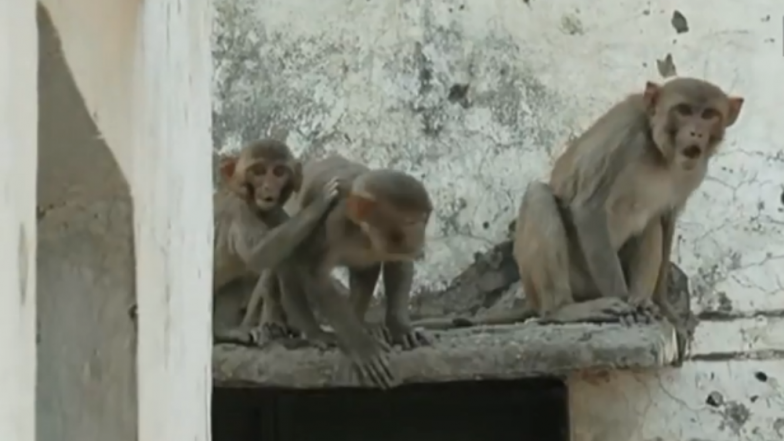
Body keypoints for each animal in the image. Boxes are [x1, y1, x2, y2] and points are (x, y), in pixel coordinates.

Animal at [213, 139, 340, 342]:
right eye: (258, 171)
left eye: (279, 172)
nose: (268, 187)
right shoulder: (240, 211)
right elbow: (258, 254)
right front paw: (320, 203)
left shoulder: (279, 216)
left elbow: (284, 265)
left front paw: (315, 333)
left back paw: (225, 329)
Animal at [274, 154, 432, 389]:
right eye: (410, 222)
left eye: (424, 220)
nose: (420, 241)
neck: (362, 233)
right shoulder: (331, 223)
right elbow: (313, 273)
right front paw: (362, 347)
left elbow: (388, 265)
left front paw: (400, 328)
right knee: (289, 261)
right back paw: (314, 333)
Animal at [413, 77, 743, 335]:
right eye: (684, 110)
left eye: (709, 114)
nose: (696, 132)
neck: (660, 150)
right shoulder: (625, 137)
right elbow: (588, 208)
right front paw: (628, 304)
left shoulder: (694, 171)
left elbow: (666, 219)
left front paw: (665, 308)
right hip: (579, 279)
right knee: (539, 197)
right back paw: (565, 309)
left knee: (649, 226)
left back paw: (640, 299)